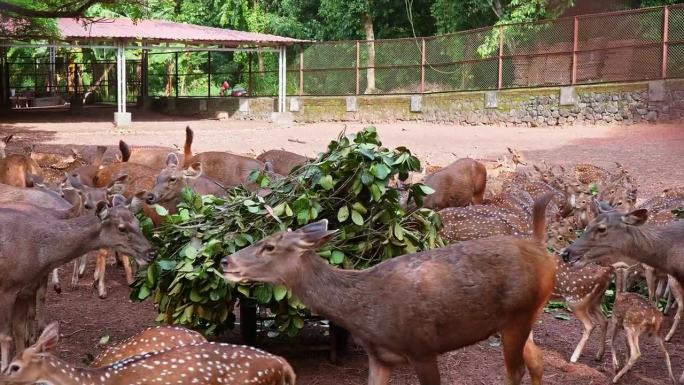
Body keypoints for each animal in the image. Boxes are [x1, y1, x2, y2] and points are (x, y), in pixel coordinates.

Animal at [0, 195, 154, 368]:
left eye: (138, 223)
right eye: (121, 228)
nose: (152, 253)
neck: (38, 254)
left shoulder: (26, 290)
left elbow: (19, 330)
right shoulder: (7, 287)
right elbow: (6, 336)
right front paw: (4, 368)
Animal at [222, 195, 560, 384]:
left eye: (269, 246)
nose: (226, 261)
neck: (364, 314)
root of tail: (542, 248)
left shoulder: (422, 346)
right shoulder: (380, 357)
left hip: (518, 315)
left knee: (516, 371)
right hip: (523, 317)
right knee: (538, 362)